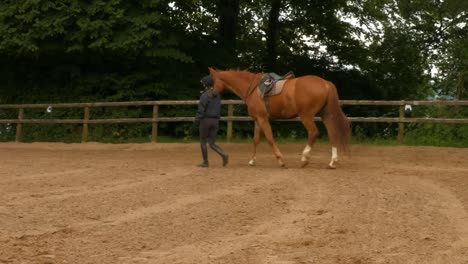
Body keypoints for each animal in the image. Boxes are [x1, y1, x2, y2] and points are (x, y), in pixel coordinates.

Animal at [208, 67, 352, 168]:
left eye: (211, 81)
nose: (209, 95)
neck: (252, 88)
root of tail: (326, 83)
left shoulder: (263, 119)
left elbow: (270, 139)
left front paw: (280, 160)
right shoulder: (257, 120)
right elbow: (256, 140)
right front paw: (252, 161)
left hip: (306, 116)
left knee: (313, 132)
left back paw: (305, 158)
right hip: (325, 115)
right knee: (333, 134)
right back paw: (332, 162)